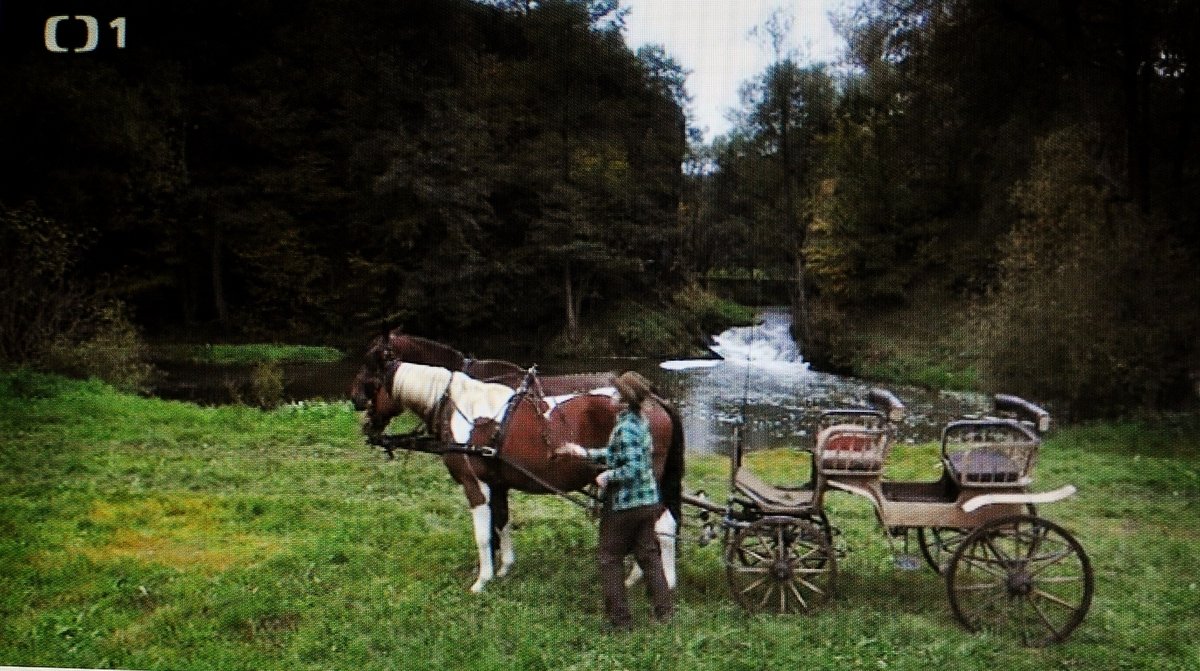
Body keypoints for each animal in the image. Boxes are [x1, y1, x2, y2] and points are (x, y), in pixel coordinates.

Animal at [350, 360, 686, 595]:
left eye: (372, 383)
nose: (365, 423)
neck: (461, 409)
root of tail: (654, 400)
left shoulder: (475, 485)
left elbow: (483, 534)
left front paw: (482, 580)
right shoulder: (498, 484)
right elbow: (501, 522)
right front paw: (504, 569)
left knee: (664, 526)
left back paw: (667, 582)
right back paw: (636, 576)